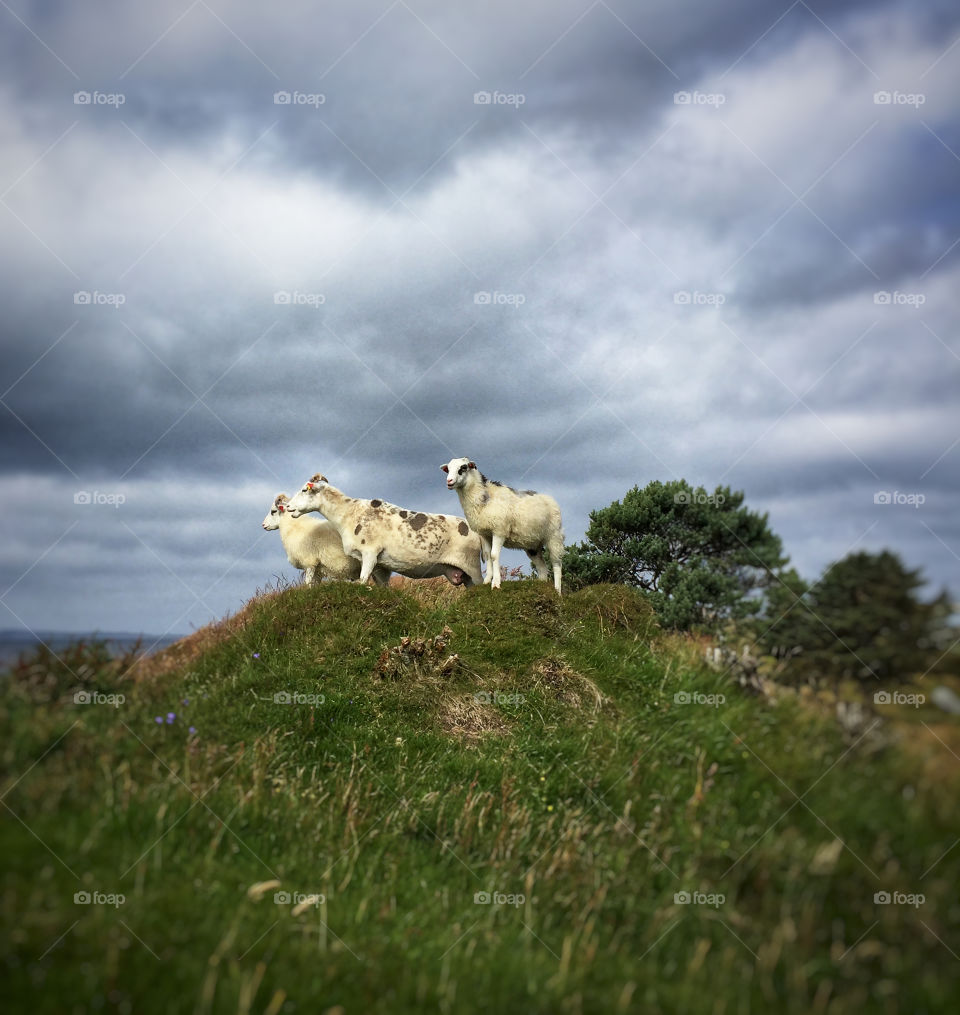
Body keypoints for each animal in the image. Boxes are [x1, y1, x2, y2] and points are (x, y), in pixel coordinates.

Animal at [262, 493, 391, 586]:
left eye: (273, 511)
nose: (263, 525)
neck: (294, 527)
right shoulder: (318, 568)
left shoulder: (309, 562)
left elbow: (307, 583)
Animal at [286, 474, 484, 587]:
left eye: (304, 490)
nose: (287, 506)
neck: (348, 513)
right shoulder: (381, 567)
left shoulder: (369, 553)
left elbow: (362, 581)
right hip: (464, 574)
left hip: (472, 566)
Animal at [440, 458, 564, 593]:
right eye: (448, 469)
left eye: (463, 467)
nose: (449, 481)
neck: (484, 497)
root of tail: (550, 498)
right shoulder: (484, 534)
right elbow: (487, 555)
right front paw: (487, 581)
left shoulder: (499, 531)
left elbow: (494, 555)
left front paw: (495, 583)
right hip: (533, 544)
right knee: (542, 567)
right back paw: (541, 584)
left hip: (554, 536)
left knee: (556, 564)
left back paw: (557, 591)